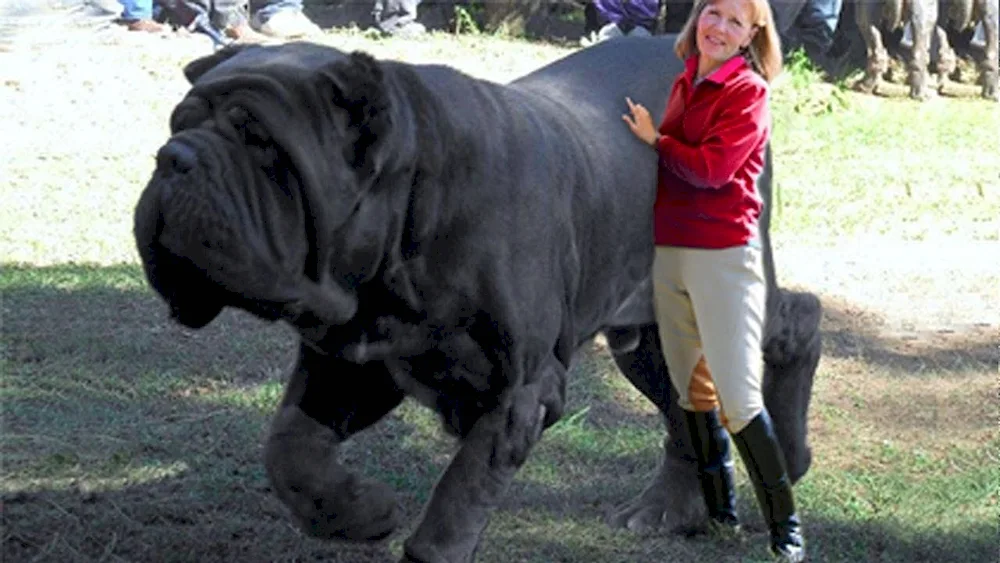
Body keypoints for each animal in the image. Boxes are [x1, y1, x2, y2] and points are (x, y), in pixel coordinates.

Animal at [133, 37, 820, 560]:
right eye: (178, 123)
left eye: (262, 144)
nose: (174, 157)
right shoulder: (350, 364)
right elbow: (290, 452)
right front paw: (361, 512)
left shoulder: (518, 391)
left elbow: (457, 502)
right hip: (646, 339)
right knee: (682, 407)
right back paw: (664, 510)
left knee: (796, 320)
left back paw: (790, 451)